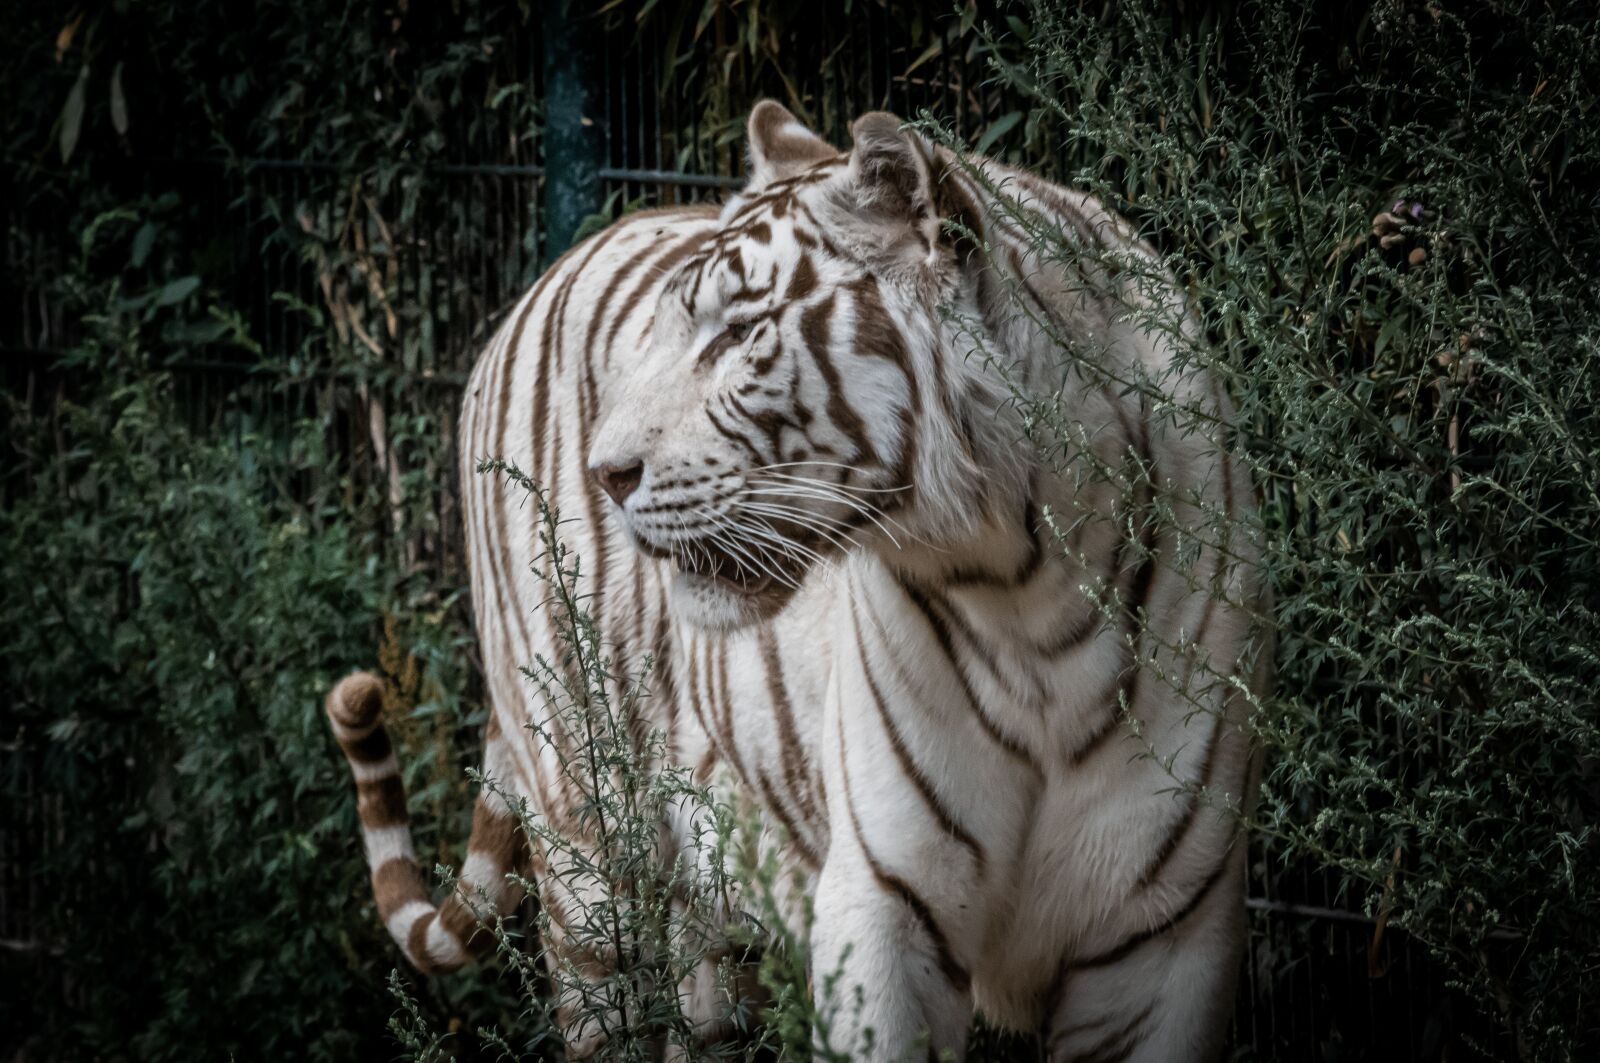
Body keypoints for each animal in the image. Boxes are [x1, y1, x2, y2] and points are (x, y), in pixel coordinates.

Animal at [326, 100, 1267, 1061]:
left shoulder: (1168, 941)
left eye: (740, 335)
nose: (607, 473)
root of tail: (546, 275)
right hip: (588, 850)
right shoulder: (885, 905)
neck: (1028, 596)